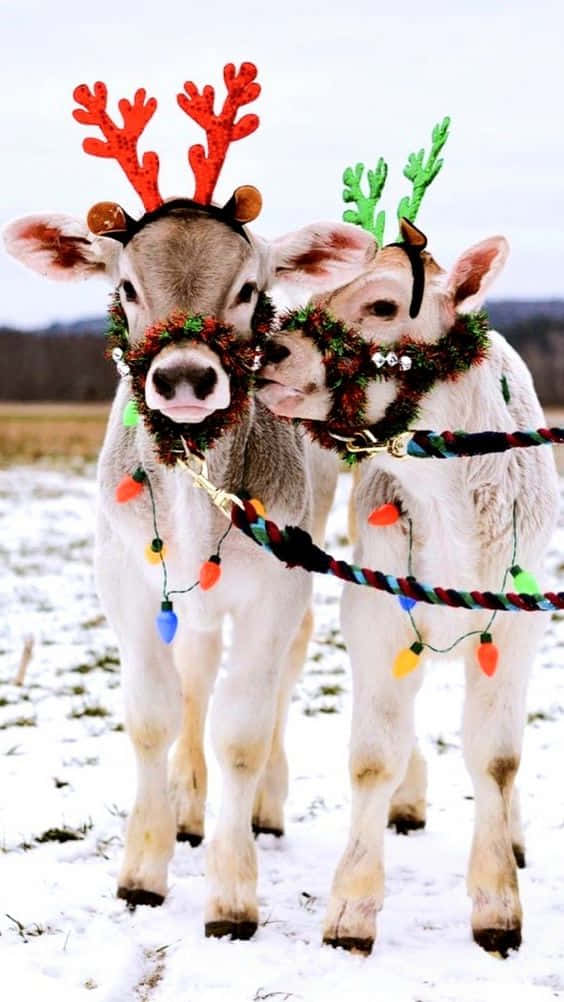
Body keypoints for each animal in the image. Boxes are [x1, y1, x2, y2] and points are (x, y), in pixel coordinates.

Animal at [3, 64, 380, 939]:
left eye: (247, 288)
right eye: (126, 286)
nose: (181, 377)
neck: (191, 503)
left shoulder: (276, 579)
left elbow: (242, 725)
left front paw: (232, 894)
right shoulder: (121, 572)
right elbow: (153, 711)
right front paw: (143, 870)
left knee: (276, 678)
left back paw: (260, 807)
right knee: (196, 670)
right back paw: (187, 803)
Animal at [257, 215, 560, 956]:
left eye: (384, 305)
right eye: (324, 290)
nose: (271, 349)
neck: (450, 502)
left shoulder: (518, 622)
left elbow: (498, 759)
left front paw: (498, 902)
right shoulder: (374, 609)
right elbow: (374, 755)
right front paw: (352, 907)